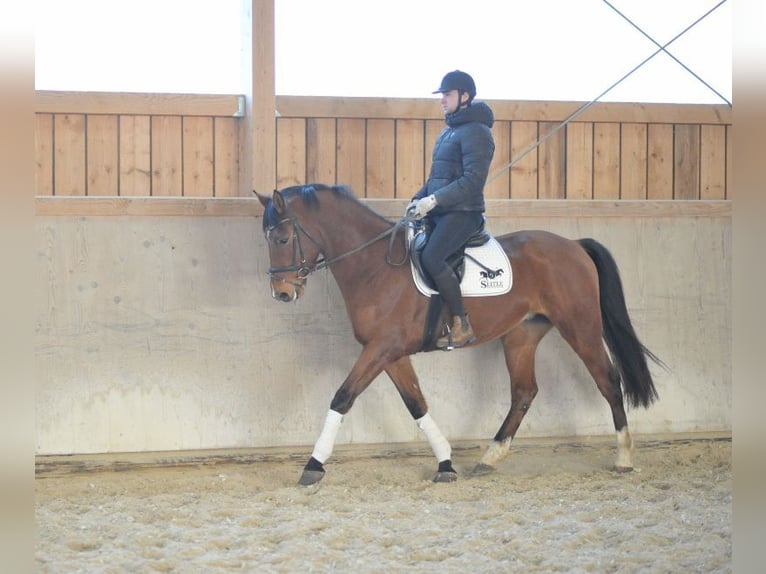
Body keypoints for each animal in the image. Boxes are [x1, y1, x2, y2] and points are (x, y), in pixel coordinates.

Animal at [255, 184, 664, 486]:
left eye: (281, 238)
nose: (282, 293)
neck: (374, 267)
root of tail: (574, 246)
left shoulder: (381, 348)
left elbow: (343, 397)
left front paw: (313, 465)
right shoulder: (390, 352)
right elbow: (417, 404)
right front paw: (446, 464)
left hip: (580, 327)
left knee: (607, 380)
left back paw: (624, 457)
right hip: (521, 336)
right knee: (524, 392)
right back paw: (490, 457)